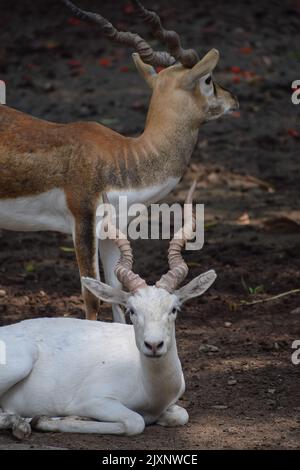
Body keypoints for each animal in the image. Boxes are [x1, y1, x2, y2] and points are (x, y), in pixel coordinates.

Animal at [0, 0, 239, 322]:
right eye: (209, 79)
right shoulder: (83, 224)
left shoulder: (112, 231)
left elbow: (116, 289)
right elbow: (93, 296)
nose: (233, 100)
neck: (124, 156)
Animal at [0, 186, 216, 436]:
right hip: (20, 363)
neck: (149, 388)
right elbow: (135, 422)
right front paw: (49, 419)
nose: (153, 345)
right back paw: (23, 424)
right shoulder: (93, 400)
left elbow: (181, 415)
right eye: (132, 311)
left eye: (174, 308)